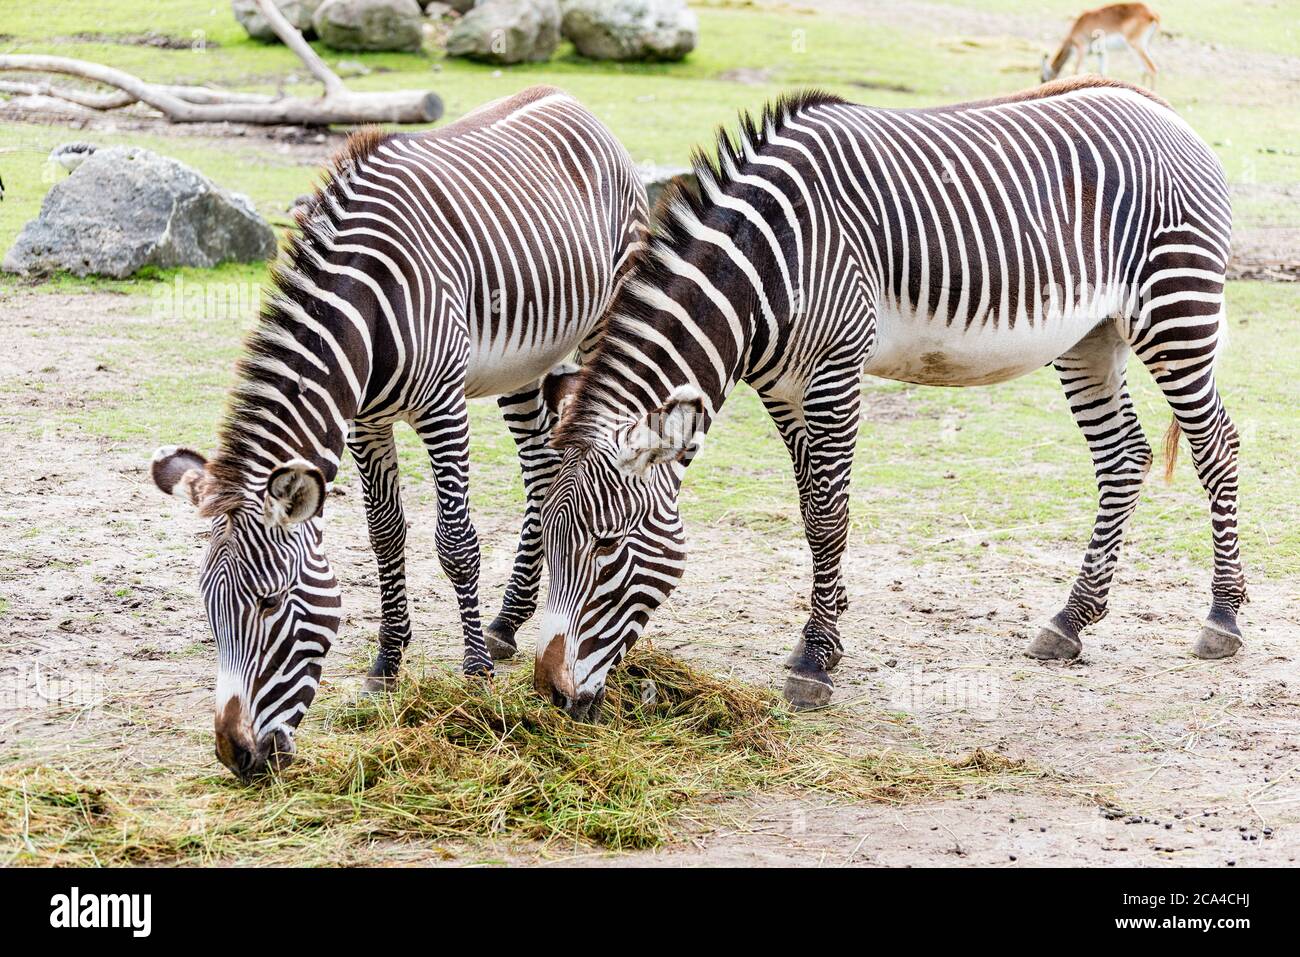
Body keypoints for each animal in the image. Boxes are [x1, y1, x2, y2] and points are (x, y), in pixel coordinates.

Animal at [149, 85, 647, 780]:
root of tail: (564, 96)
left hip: (601, 322)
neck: (365, 307)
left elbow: (456, 542)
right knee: (543, 470)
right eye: (207, 607)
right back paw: (508, 620)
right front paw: (387, 664)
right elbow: (385, 536)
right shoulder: (365, 421)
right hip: (525, 364)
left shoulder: (443, 406)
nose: (236, 755)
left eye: (273, 603)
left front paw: (474, 676)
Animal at [540, 76, 1248, 717]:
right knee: (1123, 456)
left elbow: (829, 512)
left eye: (608, 547)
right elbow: (810, 508)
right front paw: (829, 629)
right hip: (1091, 336)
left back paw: (1222, 618)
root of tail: (1162, 108)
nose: (553, 692)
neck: (765, 266)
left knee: (1216, 444)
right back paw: (1071, 620)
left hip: (1176, 309)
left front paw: (813, 660)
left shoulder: (836, 365)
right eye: (543, 538)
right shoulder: (781, 385)